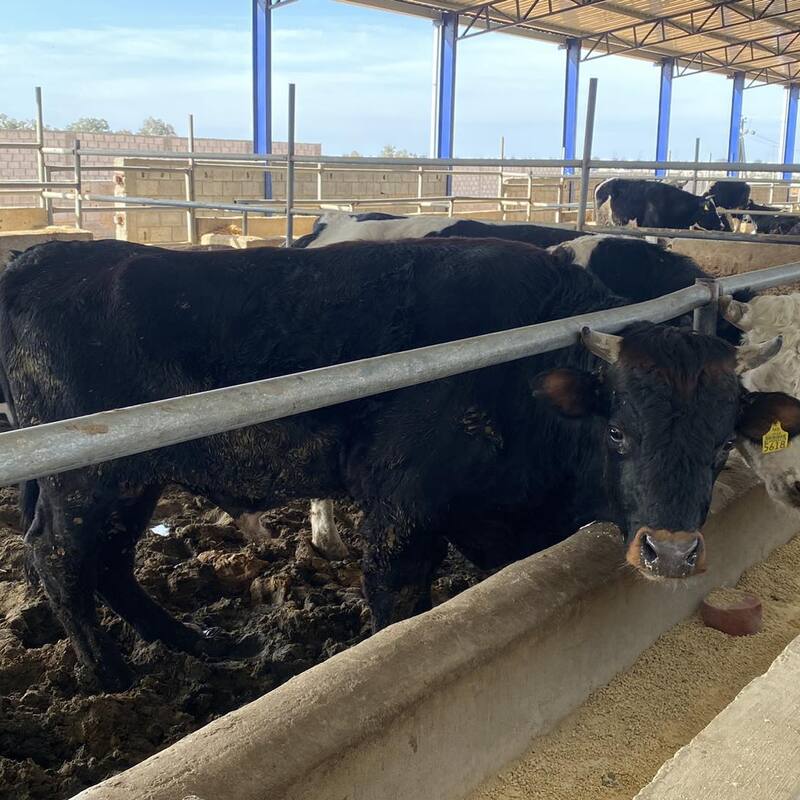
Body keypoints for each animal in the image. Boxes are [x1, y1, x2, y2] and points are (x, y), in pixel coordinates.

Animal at [0, 238, 792, 691]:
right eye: (619, 433)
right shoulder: (401, 510)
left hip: (129, 481)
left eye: (722, 444)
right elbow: (395, 610)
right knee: (59, 557)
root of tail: (43, 256)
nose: (672, 553)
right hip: (88, 479)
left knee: (108, 563)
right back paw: (111, 678)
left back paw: (197, 642)